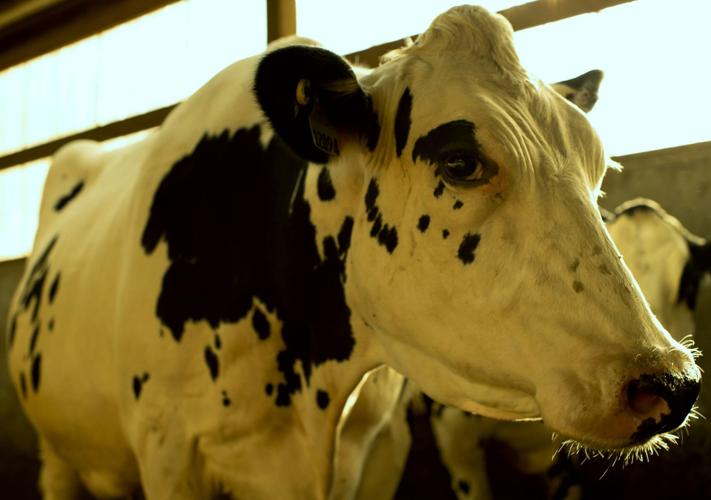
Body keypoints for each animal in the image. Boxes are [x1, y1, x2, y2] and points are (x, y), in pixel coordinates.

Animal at [6, 5, 701, 500]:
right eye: (460, 161)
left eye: (600, 168)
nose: (669, 381)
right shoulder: (171, 452)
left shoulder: (380, 449)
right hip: (53, 449)